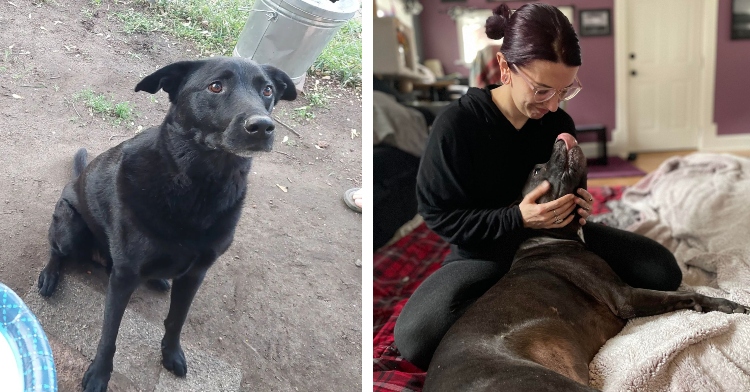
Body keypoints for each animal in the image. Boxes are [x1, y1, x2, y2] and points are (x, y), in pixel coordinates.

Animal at [37, 57, 296, 392]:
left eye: (267, 90)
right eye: (215, 86)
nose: (262, 126)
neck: (199, 189)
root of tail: (73, 180)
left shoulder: (196, 273)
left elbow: (176, 320)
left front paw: (171, 354)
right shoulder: (124, 277)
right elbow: (109, 334)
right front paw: (99, 374)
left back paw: (158, 279)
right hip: (70, 227)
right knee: (56, 249)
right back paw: (50, 275)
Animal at [424, 133, 750, 390]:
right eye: (538, 169)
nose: (559, 139)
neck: (549, 235)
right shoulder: (625, 297)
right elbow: (687, 294)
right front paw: (729, 305)